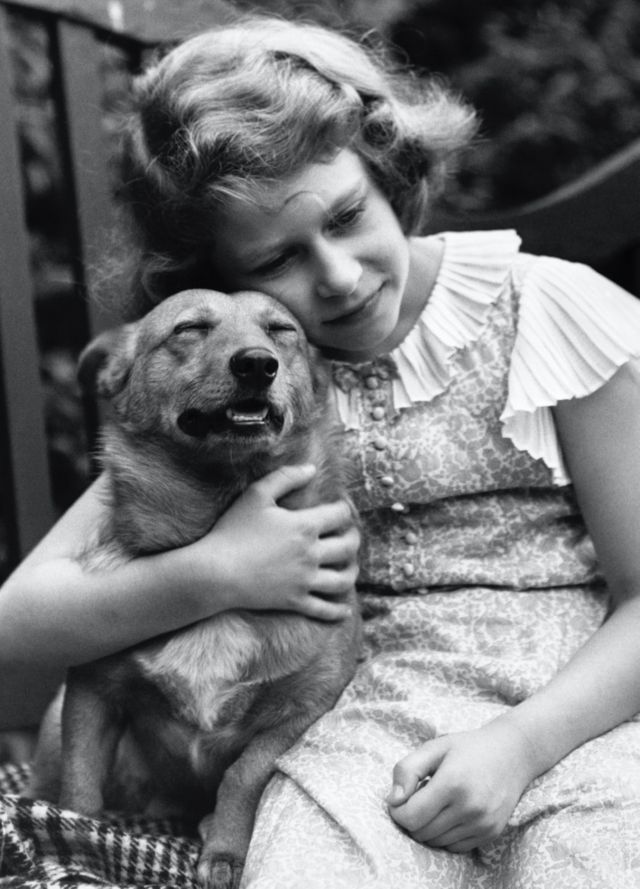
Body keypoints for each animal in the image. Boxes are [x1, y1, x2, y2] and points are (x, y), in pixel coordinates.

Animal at [28, 288, 360, 888]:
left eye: (282, 331)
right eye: (189, 329)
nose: (257, 363)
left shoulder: (304, 709)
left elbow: (245, 774)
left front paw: (225, 850)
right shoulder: (90, 694)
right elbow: (79, 791)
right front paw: (75, 844)